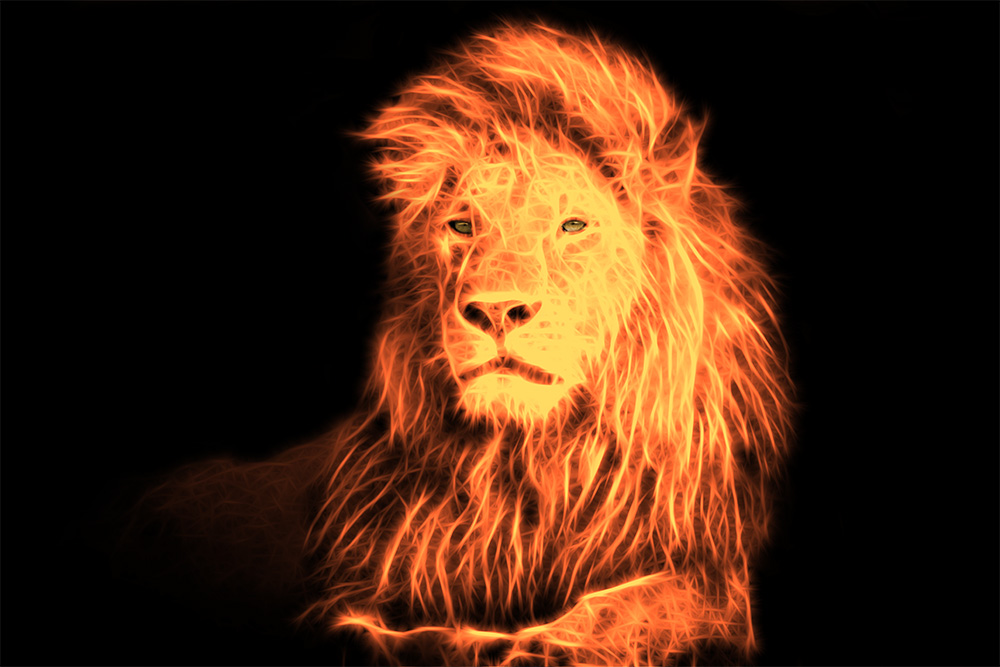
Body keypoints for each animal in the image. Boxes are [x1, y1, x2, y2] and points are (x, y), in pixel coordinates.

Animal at [125, 20, 795, 666]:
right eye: (463, 225)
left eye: (573, 225)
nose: (494, 310)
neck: (530, 468)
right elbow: (369, 624)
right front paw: (428, 641)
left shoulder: (714, 578)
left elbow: (640, 606)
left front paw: (538, 645)